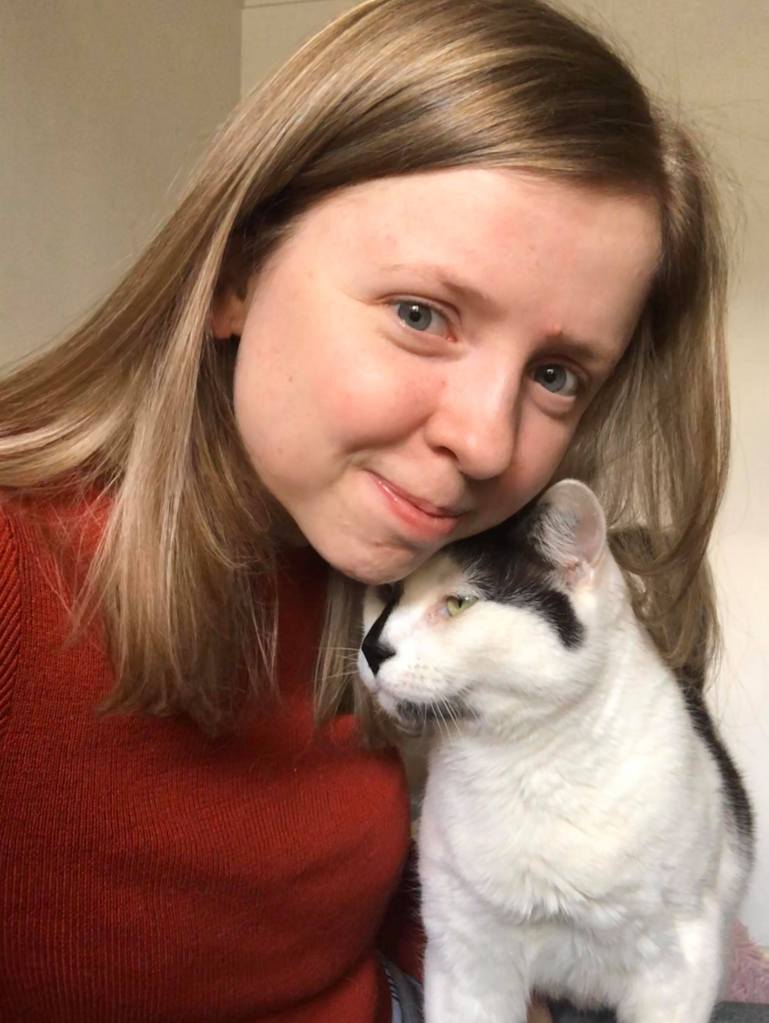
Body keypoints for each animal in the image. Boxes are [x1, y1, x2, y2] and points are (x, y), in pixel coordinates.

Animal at [357, 479, 754, 1023]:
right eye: (389, 595)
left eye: (458, 604)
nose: (372, 649)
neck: (525, 761)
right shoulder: (466, 956)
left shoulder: (677, 962)